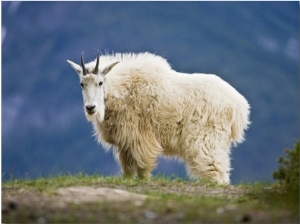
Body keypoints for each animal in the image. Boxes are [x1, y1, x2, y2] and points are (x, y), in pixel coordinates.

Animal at [67, 51, 250, 185]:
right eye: (82, 84)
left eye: (100, 82)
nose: (90, 108)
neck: (122, 91)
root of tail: (238, 105)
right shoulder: (125, 142)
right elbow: (127, 170)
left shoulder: (140, 138)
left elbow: (142, 167)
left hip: (207, 139)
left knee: (216, 172)